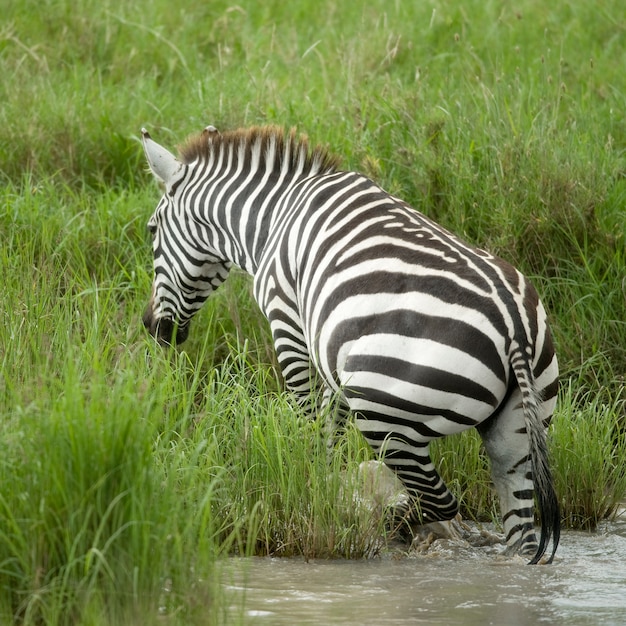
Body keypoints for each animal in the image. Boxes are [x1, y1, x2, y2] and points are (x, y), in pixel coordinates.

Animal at [141, 124, 560, 564]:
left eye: (151, 230)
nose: (151, 327)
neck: (272, 218)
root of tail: (514, 323)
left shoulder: (288, 319)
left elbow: (308, 417)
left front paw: (309, 488)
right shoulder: (336, 353)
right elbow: (330, 425)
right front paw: (325, 490)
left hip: (388, 418)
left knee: (442, 500)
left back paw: (394, 523)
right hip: (517, 432)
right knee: (515, 526)